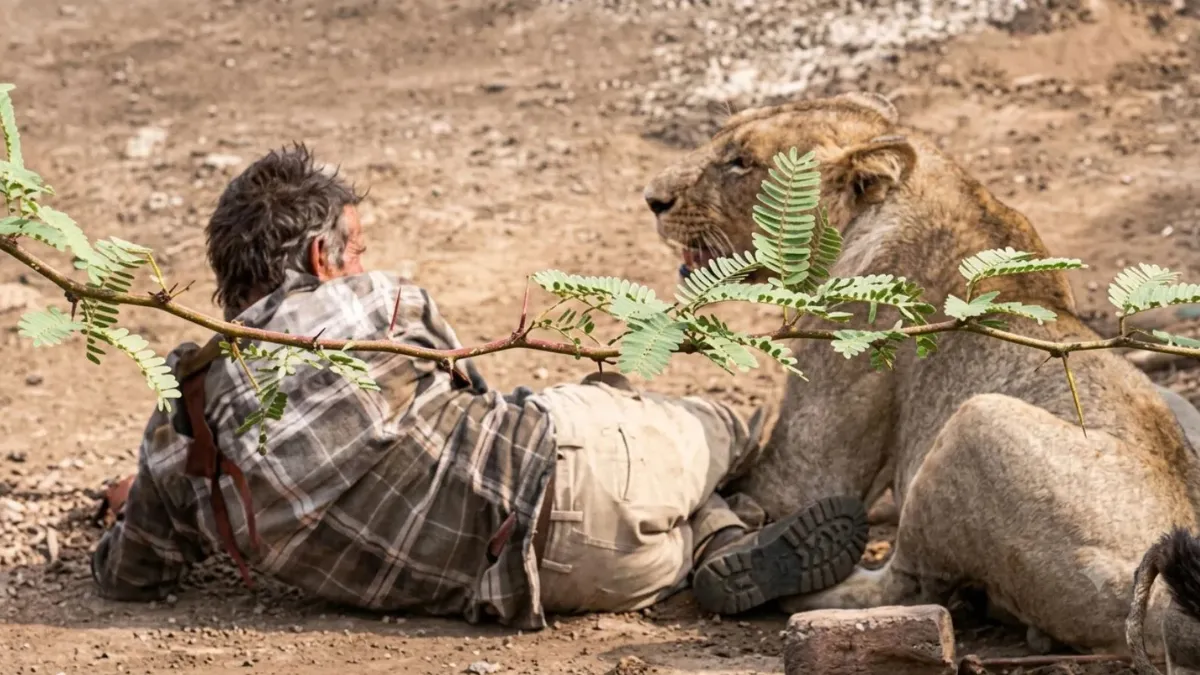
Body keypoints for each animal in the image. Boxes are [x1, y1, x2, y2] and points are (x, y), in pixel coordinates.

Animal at [641, 91, 1200, 655]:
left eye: (742, 162)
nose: (652, 199)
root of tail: (1162, 608)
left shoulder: (820, 431)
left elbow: (780, 486)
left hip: (977, 422)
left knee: (907, 586)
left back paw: (769, 572)